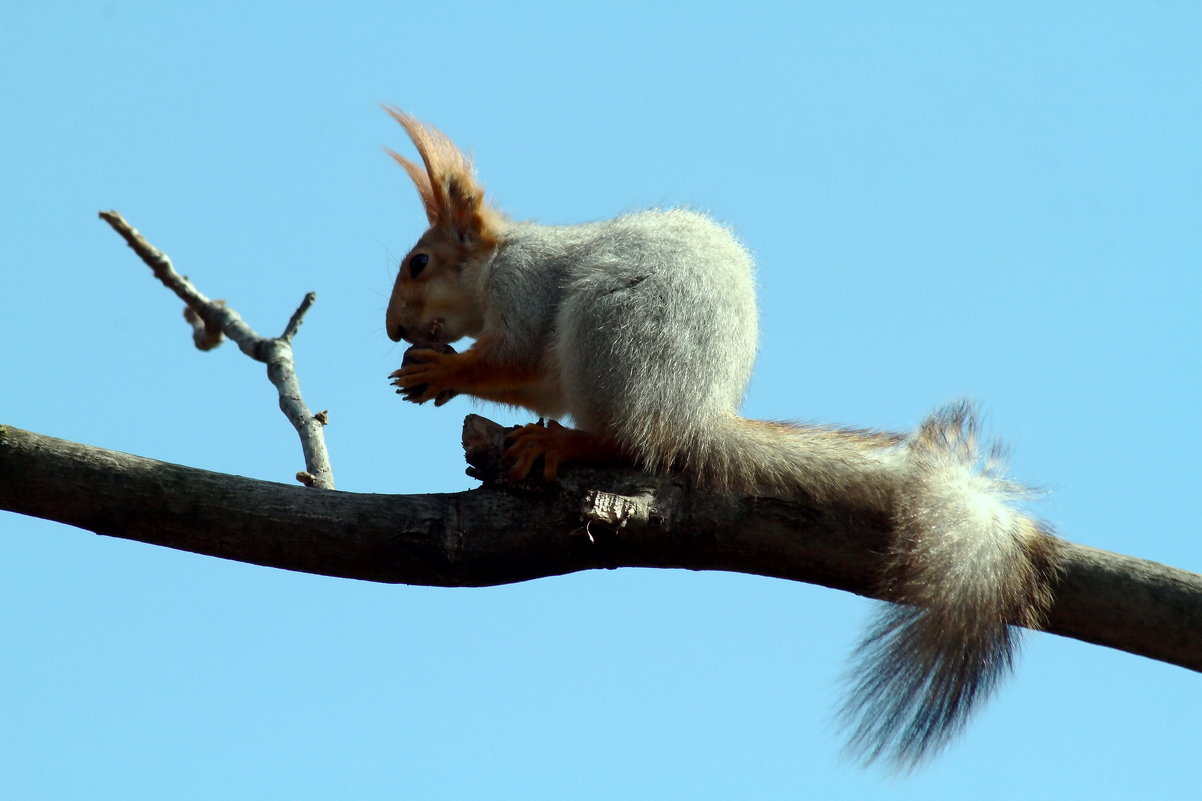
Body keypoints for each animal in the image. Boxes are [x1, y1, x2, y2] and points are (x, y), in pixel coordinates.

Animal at [379, 107, 1057, 769]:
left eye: (419, 263)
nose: (391, 329)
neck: (498, 261)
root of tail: (693, 416)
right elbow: (537, 382)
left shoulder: (523, 289)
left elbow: (514, 357)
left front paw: (442, 371)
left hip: (611, 332)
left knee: (632, 441)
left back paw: (567, 444)